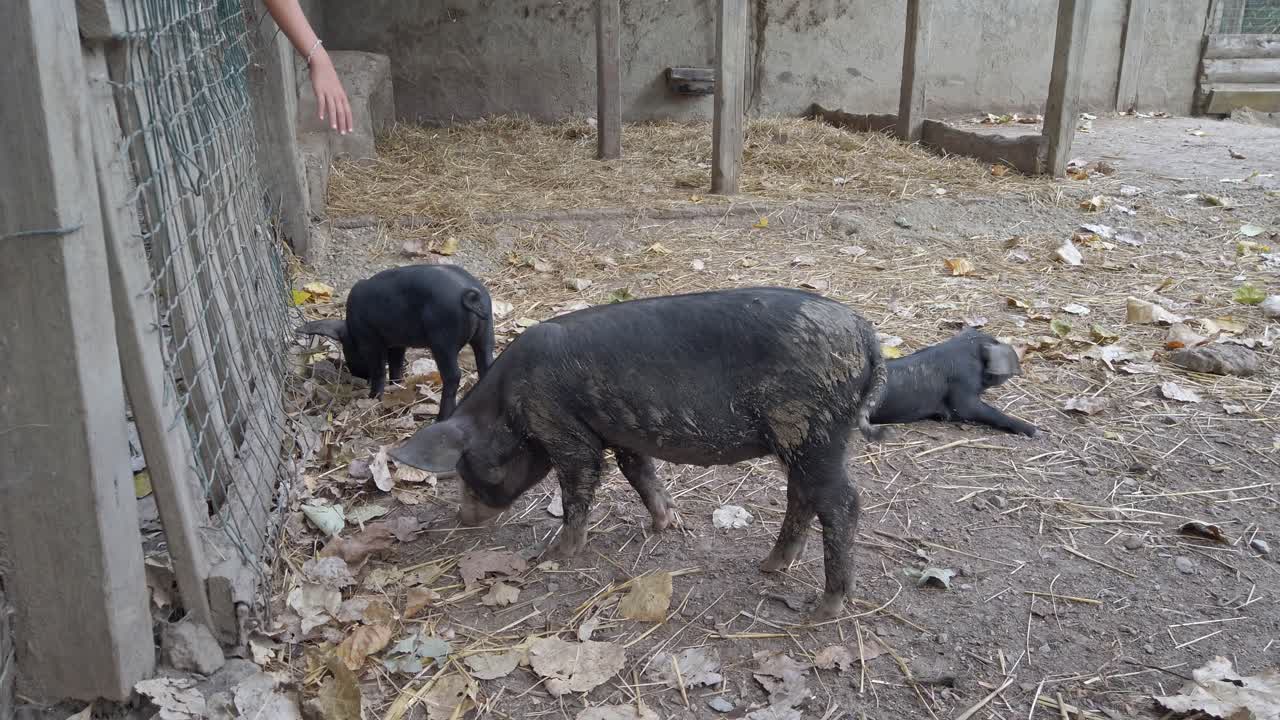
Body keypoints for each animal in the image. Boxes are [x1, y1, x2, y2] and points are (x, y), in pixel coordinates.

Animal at [297, 264, 495, 421]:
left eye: (349, 351)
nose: (358, 376)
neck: (352, 330)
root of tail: (469, 294)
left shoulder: (371, 342)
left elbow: (379, 370)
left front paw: (373, 398)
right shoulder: (398, 343)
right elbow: (396, 365)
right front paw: (396, 385)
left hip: (443, 342)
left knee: (453, 376)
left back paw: (441, 418)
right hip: (485, 334)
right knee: (487, 365)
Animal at [389, 287, 887, 620]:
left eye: (473, 468)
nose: (463, 518)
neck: (507, 406)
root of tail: (866, 334)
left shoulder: (563, 429)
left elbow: (579, 485)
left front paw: (556, 554)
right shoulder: (622, 433)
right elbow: (639, 473)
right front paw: (666, 524)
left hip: (812, 428)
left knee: (843, 503)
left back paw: (825, 606)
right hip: (805, 439)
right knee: (802, 496)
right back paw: (769, 566)